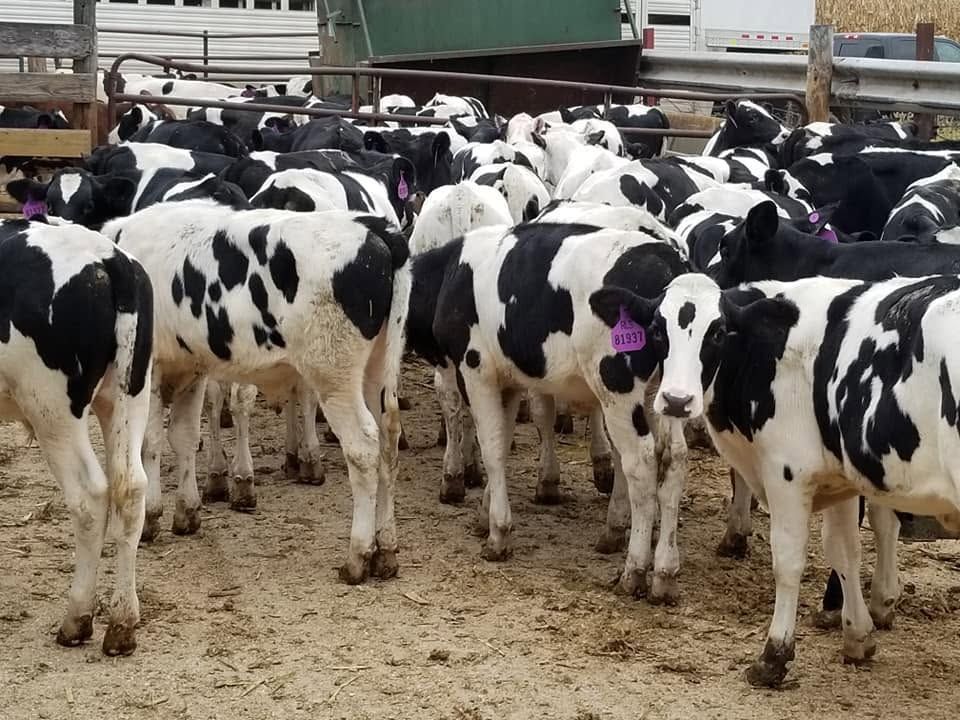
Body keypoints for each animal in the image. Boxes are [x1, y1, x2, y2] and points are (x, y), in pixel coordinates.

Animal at [0, 219, 153, 656]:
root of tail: (109, 259)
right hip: (128, 395)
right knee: (131, 489)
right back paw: (122, 623)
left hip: (52, 410)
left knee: (90, 496)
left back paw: (77, 618)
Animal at [100, 202, 410, 584]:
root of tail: (372, 227)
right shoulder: (192, 366)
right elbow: (184, 437)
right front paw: (187, 511)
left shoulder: (152, 367)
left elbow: (152, 442)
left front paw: (152, 516)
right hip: (379, 371)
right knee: (388, 442)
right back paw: (386, 550)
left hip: (334, 375)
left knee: (364, 448)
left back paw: (357, 556)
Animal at [405, 221, 690, 604]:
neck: (452, 271)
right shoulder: (508, 381)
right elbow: (502, 443)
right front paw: (484, 515)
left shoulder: (476, 370)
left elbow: (492, 450)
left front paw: (498, 533)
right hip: (665, 397)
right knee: (672, 461)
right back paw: (661, 570)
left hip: (617, 388)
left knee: (641, 465)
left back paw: (635, 570)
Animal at [630, 270, 960, 685]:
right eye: (657, 330)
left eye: (718, 332)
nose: (676, 400)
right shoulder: (841, 477)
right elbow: (844, 551)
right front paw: (858, 636)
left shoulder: (786, 473)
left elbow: (787, 561)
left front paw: (774, 655)